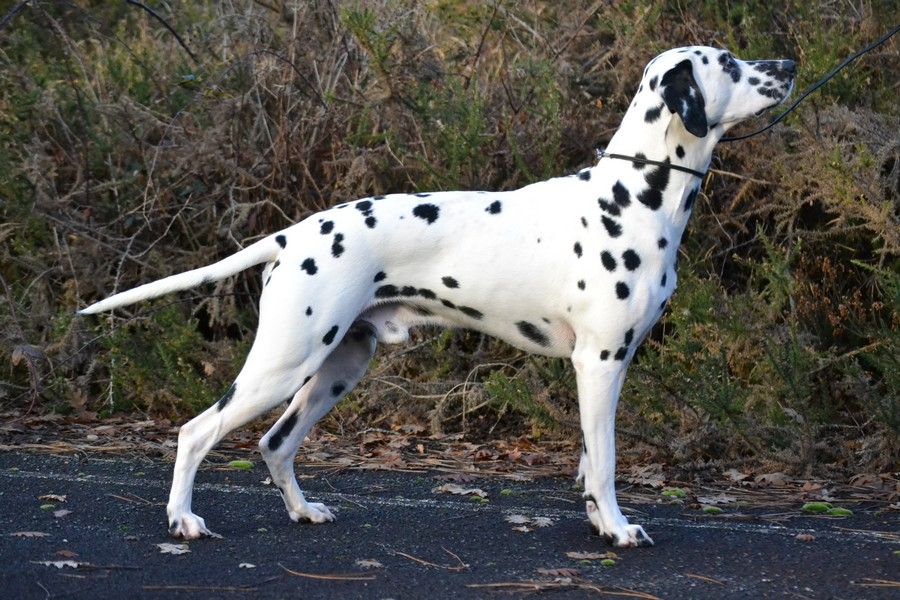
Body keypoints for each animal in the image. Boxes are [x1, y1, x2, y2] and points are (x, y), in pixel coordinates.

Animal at [79, 44, 796, 548]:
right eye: (729, 63)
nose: (790, 64)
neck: (633, 198)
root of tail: (291, 233)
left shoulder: (596, 369)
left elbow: (589, 466)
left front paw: (599, 524)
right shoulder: (600, 364)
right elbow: (607, 463)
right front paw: (618, 529)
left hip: (338, 368)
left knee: (275, 445)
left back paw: (304, 511)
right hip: (282, 365)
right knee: (196, 432)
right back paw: (183, 520)